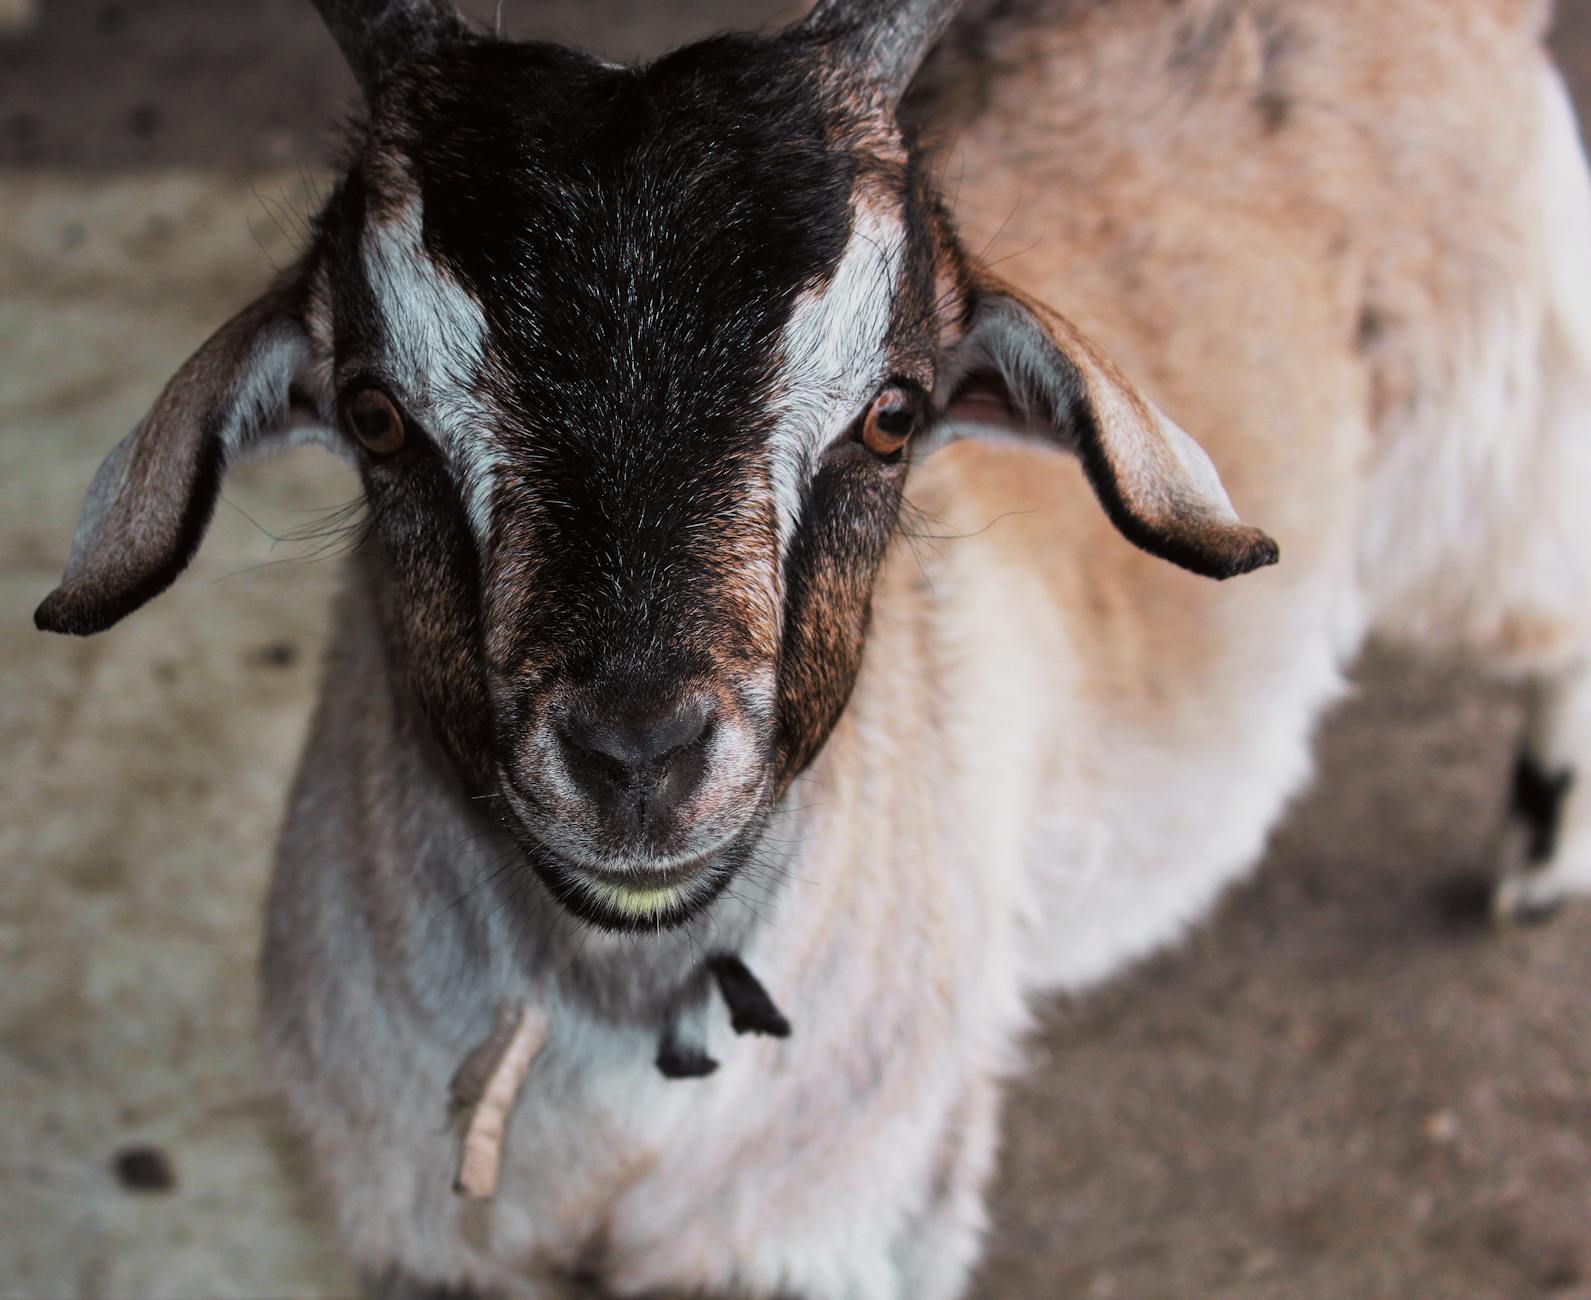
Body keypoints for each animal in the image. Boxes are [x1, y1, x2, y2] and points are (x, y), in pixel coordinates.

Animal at [34, 0, 1591, 1295]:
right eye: (372, 414)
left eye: (894, 414)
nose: (640, 754)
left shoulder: (849, 1230)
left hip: (1494, 454)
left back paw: (1535, 852)